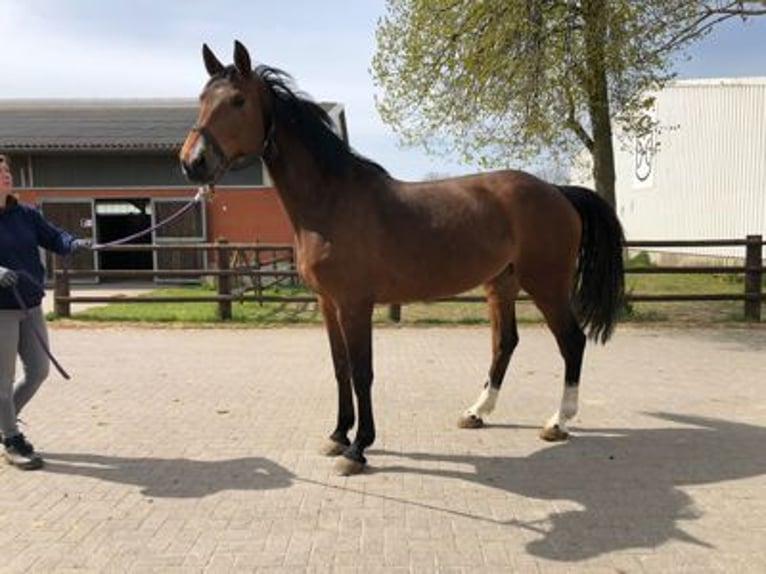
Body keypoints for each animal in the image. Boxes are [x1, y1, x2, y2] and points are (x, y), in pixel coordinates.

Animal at [182, 41, 632, 476]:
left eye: (237, 100)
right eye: (202, 98)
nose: (192, 162)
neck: (332, 201)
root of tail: (557, 191)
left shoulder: (354, 304)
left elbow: (362, 372)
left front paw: (358, 448)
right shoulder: (328, 303)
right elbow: (340, 367)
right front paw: (338, 435)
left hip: (547, 284)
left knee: (571, 341)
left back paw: (558, 421)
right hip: (502, 283)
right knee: (505, 342)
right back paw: (478, 411)